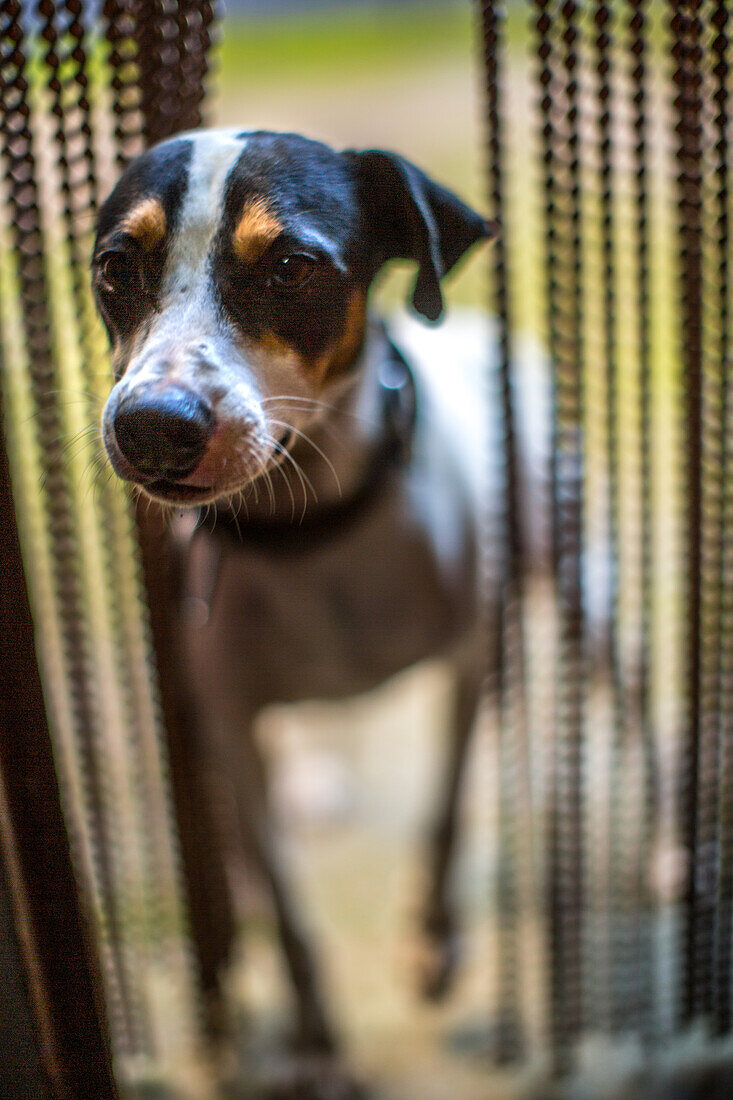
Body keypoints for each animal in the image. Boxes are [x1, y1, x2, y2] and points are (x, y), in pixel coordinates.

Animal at [93, 126, 501, 1082]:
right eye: (114, 267)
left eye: (288, 266)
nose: (151, 427)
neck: (312, 539)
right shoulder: (233, 721)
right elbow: (286, 907)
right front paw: (315, 1038)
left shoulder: (467, 661)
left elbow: (444, 810)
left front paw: (437, 943)